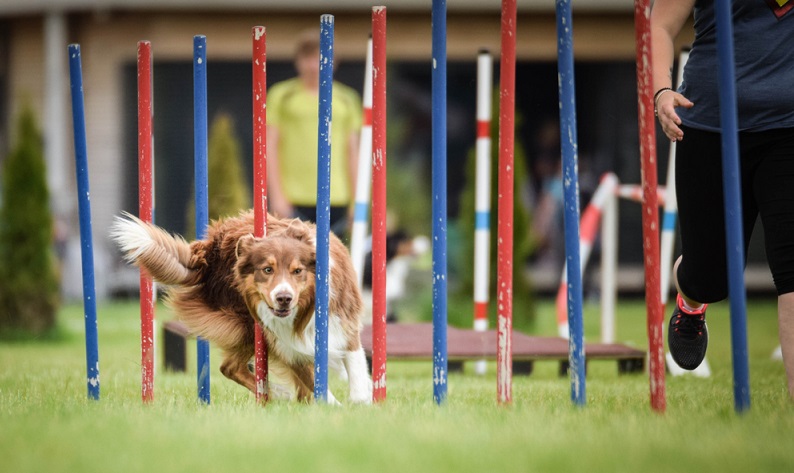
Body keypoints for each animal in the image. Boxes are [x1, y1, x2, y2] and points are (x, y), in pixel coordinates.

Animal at [110, 210, 372, 402]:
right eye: (267, 270)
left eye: (297, 271)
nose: (283, 298)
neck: (303, 312)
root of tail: (210, 251)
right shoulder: (286, 345)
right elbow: (313, 381)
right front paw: (331, 407)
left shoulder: (343, 325)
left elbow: (355, 369)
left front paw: (361, 400)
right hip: (245, 325)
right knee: (229, 367)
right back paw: (276, 393)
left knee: (230, 367)